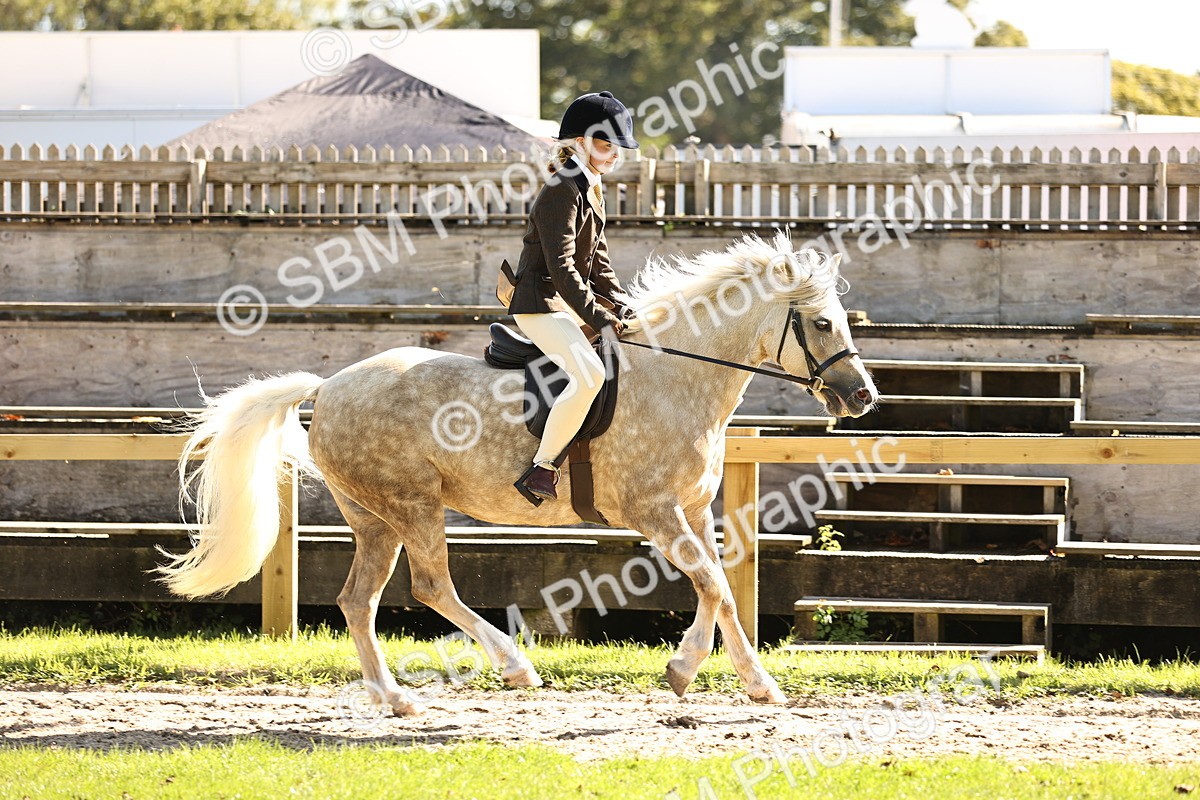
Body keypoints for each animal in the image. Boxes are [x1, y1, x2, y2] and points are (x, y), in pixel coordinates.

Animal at [158, 229, 878, 716]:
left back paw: (396, 699)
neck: (676, 376)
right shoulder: (654, 512)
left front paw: (742, 679)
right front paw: (696, 672)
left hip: (375, 518)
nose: (863, 397)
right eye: (820, 322)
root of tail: (328, 386)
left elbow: (718, 588)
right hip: (413, 506)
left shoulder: (693, 510)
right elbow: (716, 586)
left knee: (358, 600)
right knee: (430, 587)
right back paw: (514, 667)